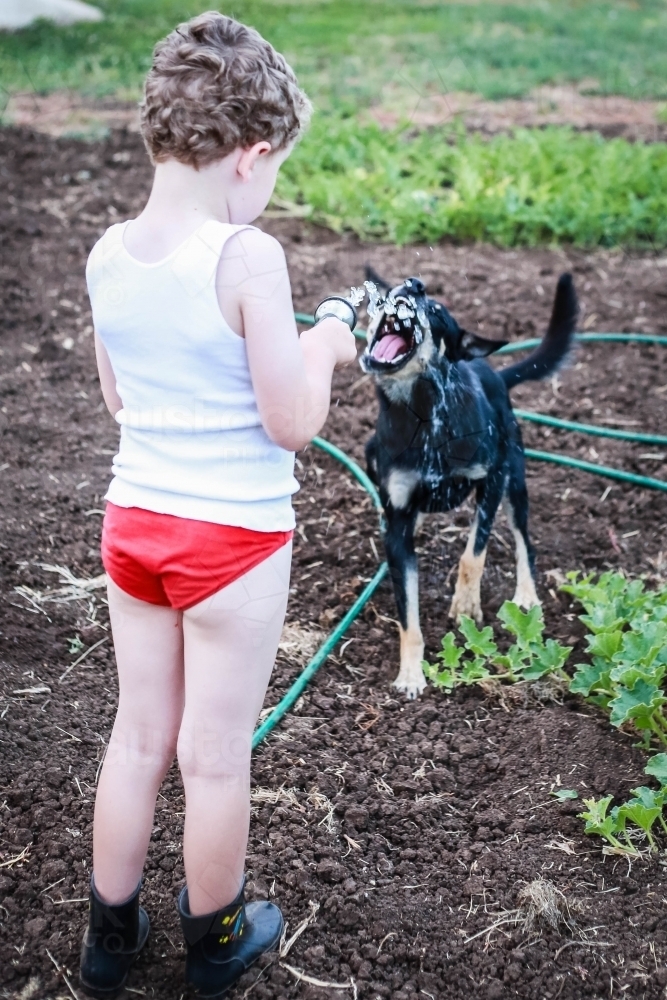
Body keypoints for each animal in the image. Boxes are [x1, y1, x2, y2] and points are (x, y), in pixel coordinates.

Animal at [360, 270, 580, 700]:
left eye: (437, 311)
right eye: (392, 291)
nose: (413, 283)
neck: (424, 416)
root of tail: (491, 370)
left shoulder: (490, 481)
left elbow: (473, 554)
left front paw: (465, 605)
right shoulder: (398, 517)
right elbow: (408, 615)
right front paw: (410, 674)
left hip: (515, 481)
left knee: (524, 541)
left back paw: (526, 595)